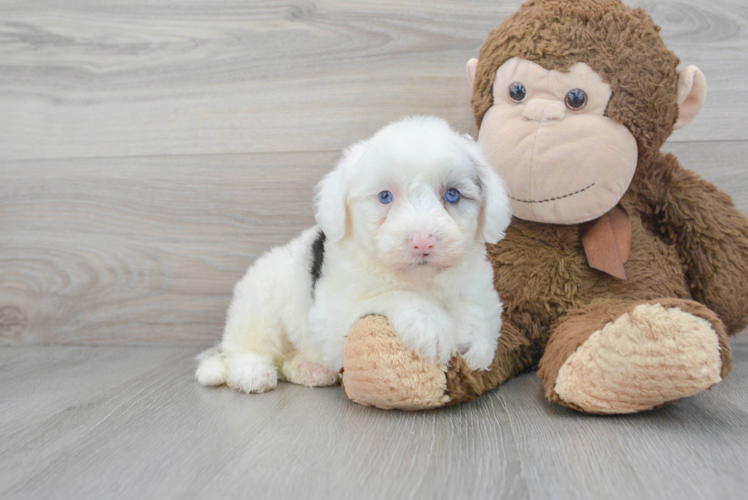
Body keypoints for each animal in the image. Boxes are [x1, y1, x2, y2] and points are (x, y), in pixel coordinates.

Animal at [196, 115, 512, 392]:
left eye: (453, 195)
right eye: (385, 196)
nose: (423, 242)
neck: (420, 279)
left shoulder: (479, 288)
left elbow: (476, 309)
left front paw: (474, 342)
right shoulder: (333, 313)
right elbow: (391, 295)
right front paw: (430, 325)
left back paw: (310, 369)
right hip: (260, 303)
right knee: (247, 346)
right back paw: (252, 373)